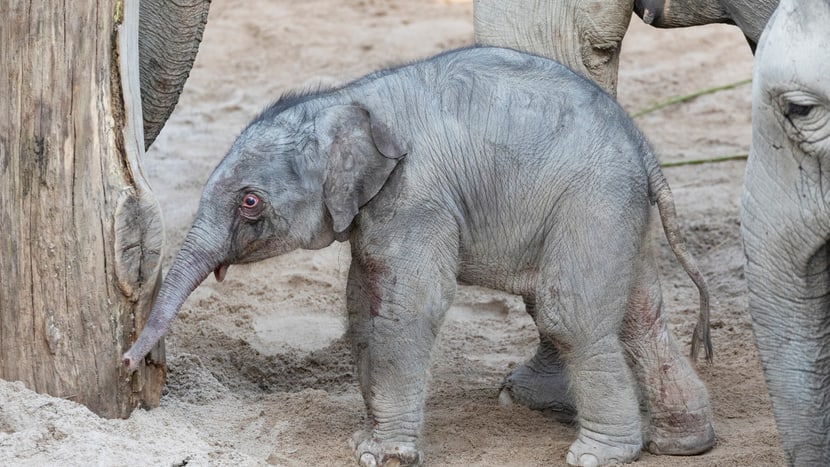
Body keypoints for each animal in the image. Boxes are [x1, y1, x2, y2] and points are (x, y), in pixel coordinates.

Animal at [123, 45, 716, 466]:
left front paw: (383, 457)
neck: (348, 97)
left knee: (571, 316)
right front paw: (364, 443)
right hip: (618, 212)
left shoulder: (416, 195)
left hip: (591, 202)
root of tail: (644, 147)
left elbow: (408, 309)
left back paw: (599, 455)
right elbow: (363, 305)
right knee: (642, 315)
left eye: (249, 202)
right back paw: (683, 445)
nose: (128, 361)